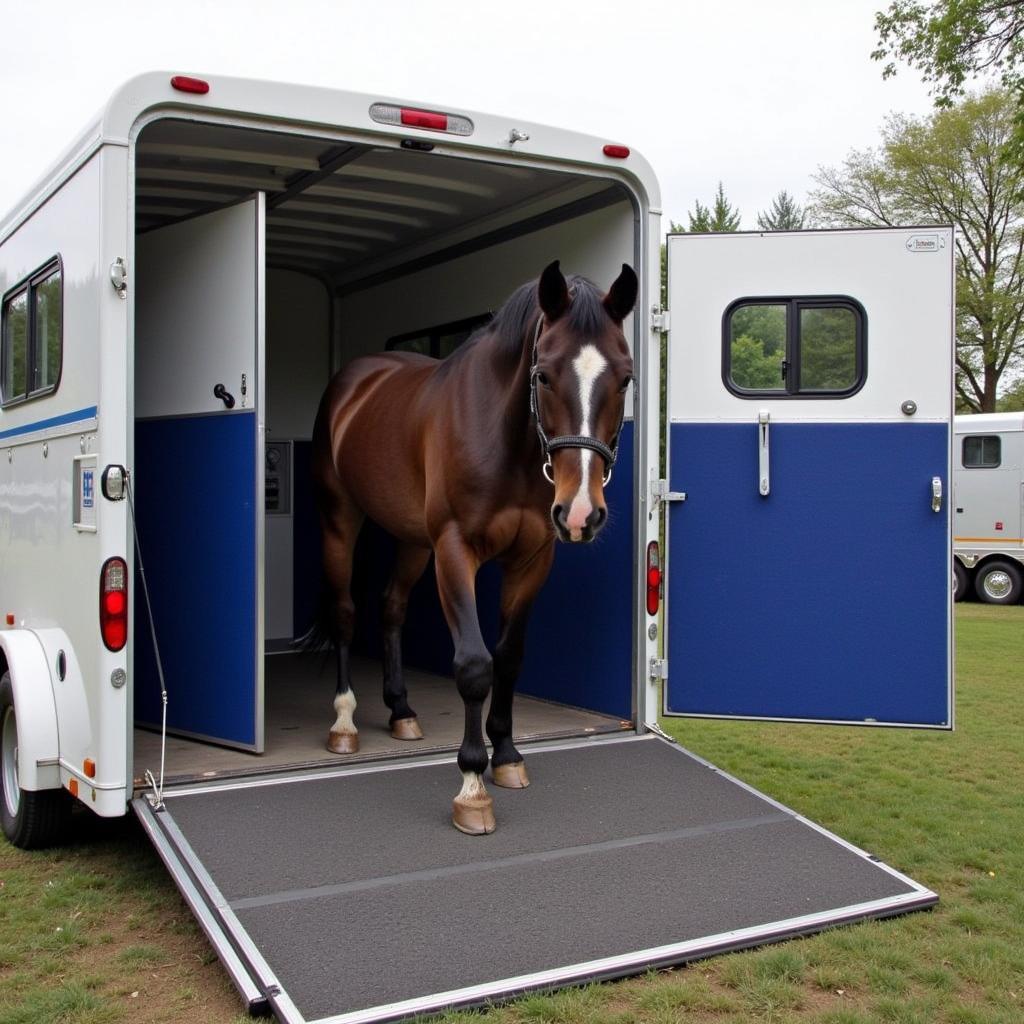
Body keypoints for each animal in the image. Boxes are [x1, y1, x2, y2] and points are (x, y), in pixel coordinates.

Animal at [307, 260, 634, 835]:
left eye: (626, 377)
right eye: (542, 375)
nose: (580, 513)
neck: (505, 439)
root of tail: (352, 382)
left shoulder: (532, 559)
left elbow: (509, 657)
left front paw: (506, 756)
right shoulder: (455, 551)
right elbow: (475, 665)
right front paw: (472, 784)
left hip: (413, 541)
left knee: (391, 608)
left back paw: (401, 711)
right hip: (341, 521)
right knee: (345, 613)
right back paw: (344, 724)